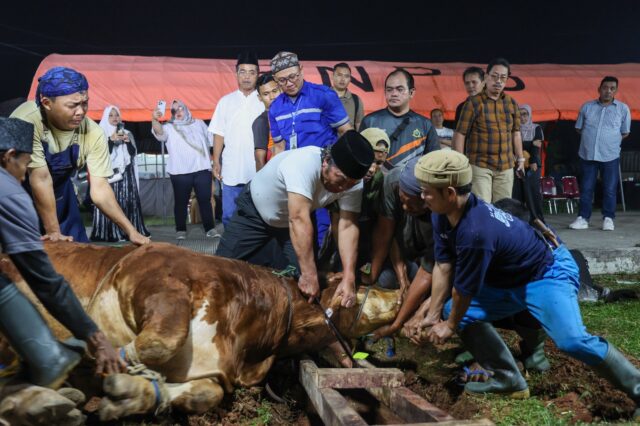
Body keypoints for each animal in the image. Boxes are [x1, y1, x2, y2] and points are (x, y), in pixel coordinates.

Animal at [0, 241, 400, 422]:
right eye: (357, 285)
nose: (398, 292)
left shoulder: (212, 369)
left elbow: (205, 393)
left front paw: (130, 393)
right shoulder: (154, 278)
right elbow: (159, 341)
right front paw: (95, 359)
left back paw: (52, 403)